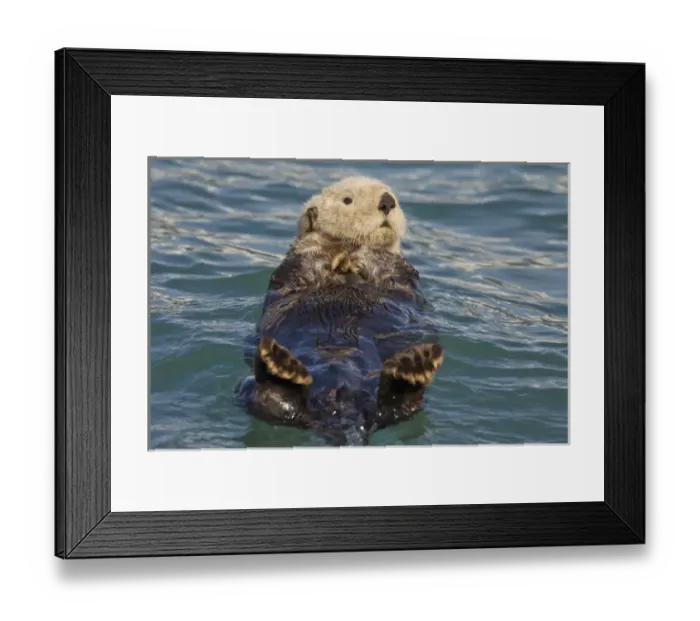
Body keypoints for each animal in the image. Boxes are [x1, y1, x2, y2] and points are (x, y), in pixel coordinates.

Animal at [235, 176, 444, 446]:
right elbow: (306, 260)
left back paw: (414, 368)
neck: (344, 269)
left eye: (393, 195)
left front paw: (367, 252)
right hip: (245, 386)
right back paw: (281, 369)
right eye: (348, 199)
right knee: (270, 403)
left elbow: (391, 270)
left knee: (400, 409)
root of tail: (343, 408)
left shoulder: (402, 277)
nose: (387, 202)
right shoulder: (294, 271)